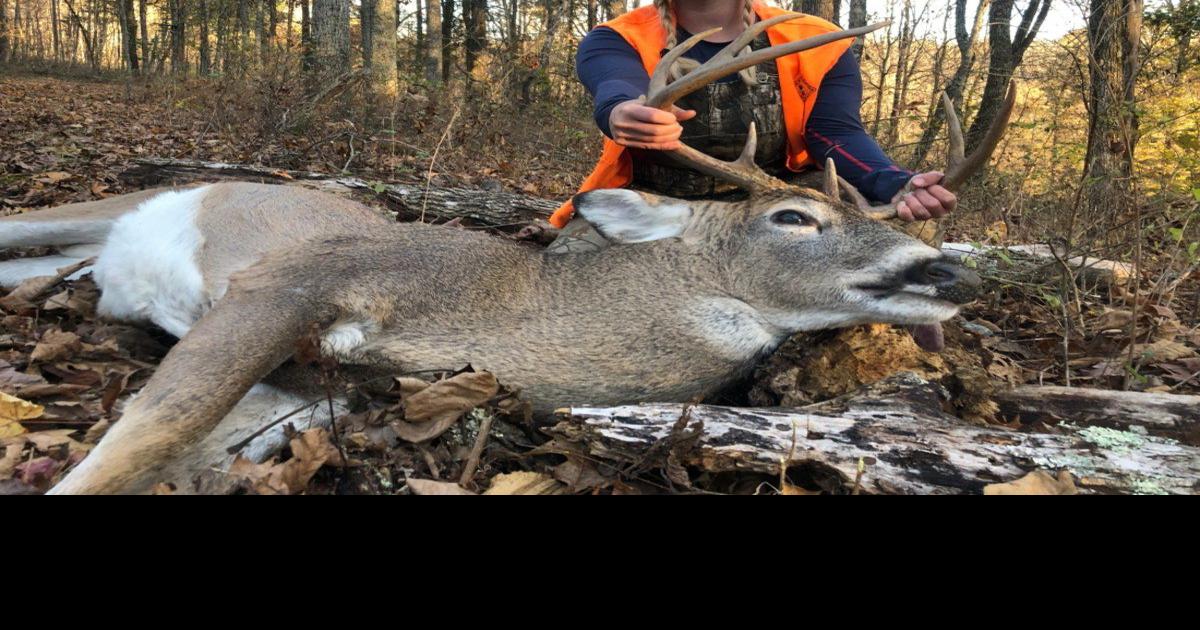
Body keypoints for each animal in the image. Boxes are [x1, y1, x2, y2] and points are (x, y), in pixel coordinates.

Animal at [0, 15, 1014, 494]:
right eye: (794, 218)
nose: (948, 271)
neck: (500, 312)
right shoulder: (288, 282)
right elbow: (149, 433)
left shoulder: (317, 388)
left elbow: (189, 448)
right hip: (97, 205)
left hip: (78, 262)